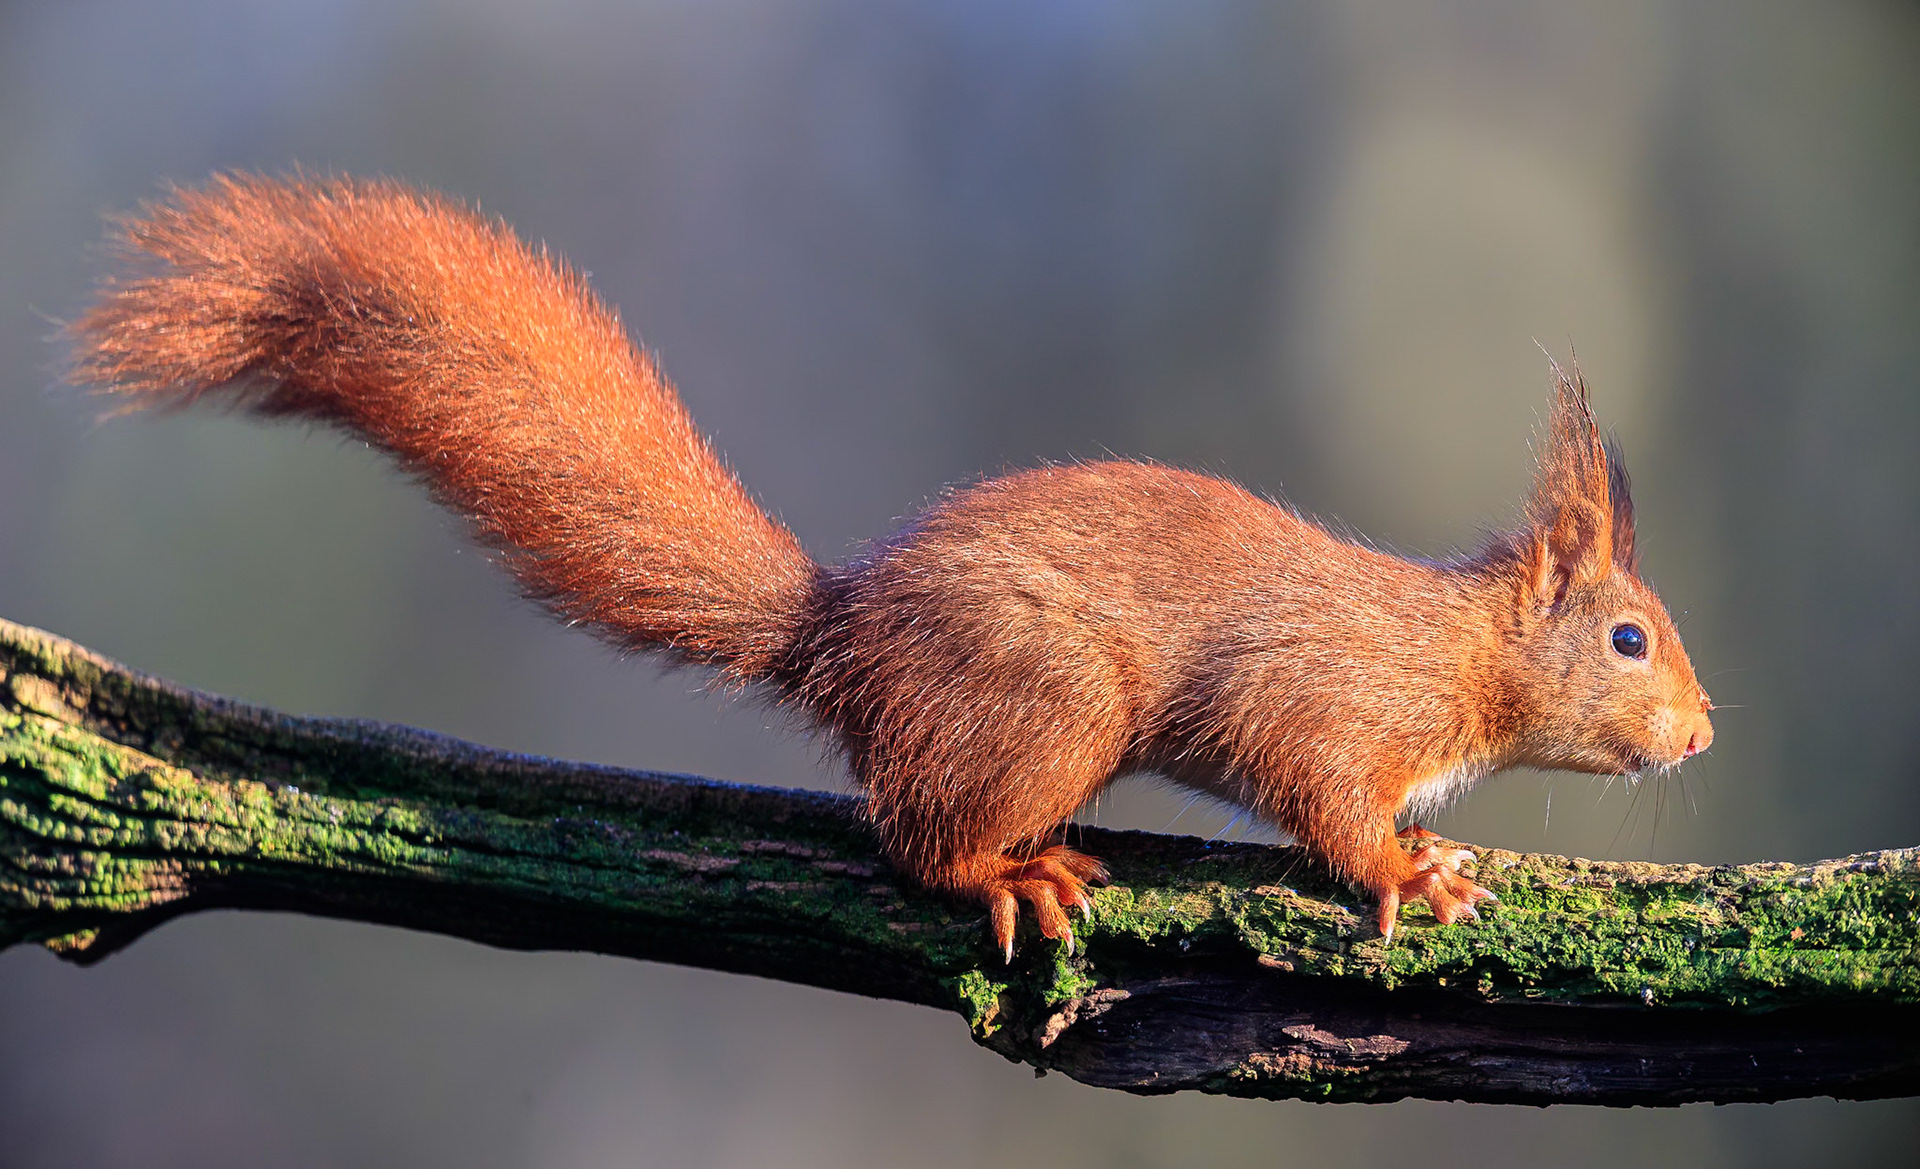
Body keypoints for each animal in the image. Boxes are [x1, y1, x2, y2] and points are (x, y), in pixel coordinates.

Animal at [68, 174, 1714, 959]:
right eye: (1631, 639)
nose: (1705, 733)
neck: (1460, 652)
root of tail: (835, 634)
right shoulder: (1331, 700)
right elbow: (1321, 794)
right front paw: (1407, 869)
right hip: (1046, 701)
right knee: (916, 835)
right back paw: (1011, 868)